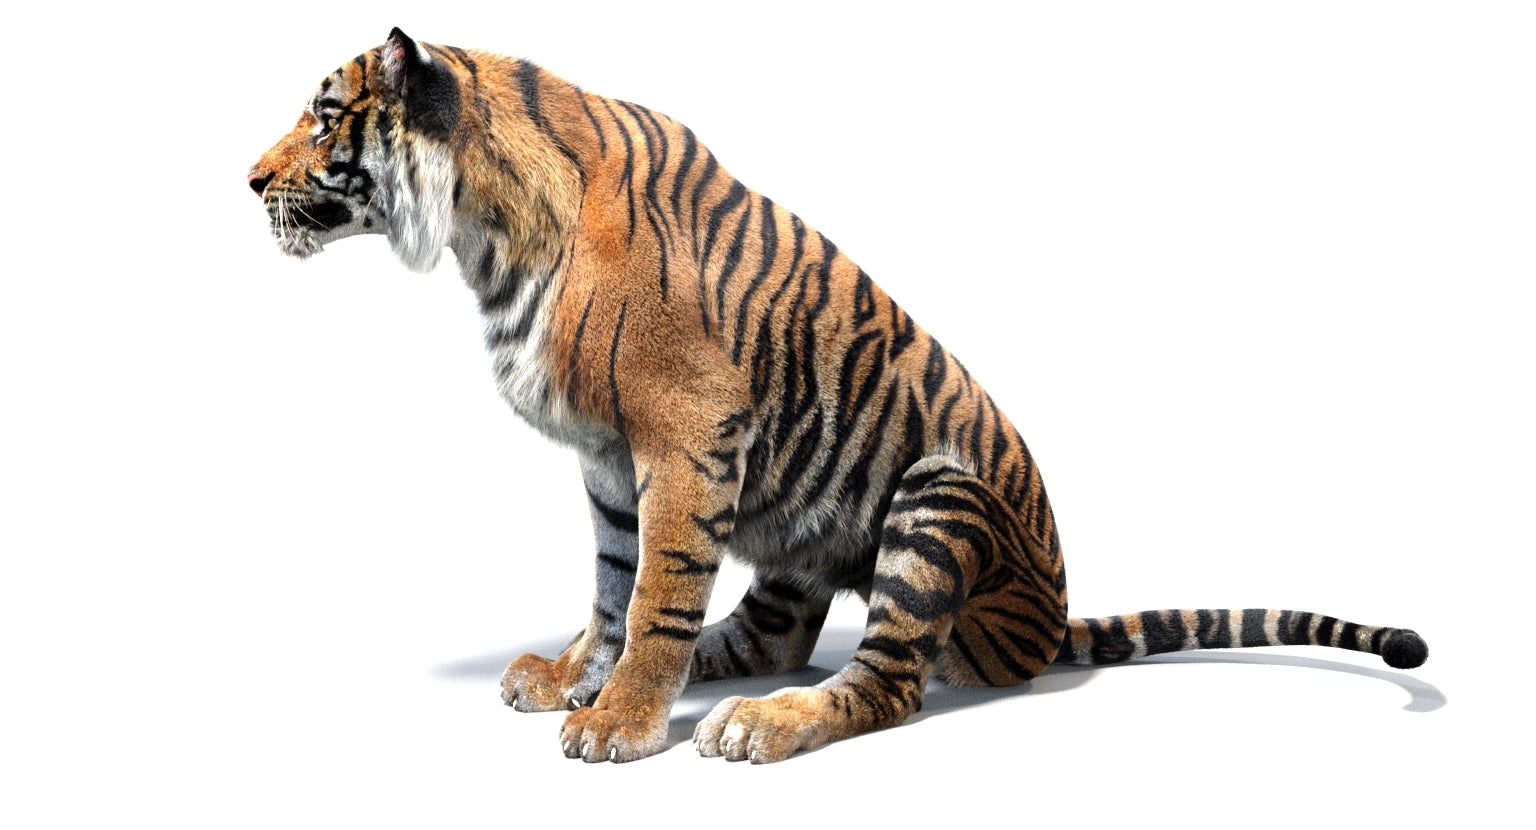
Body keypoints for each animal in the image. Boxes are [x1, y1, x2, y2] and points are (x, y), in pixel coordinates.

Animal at [249, 29, 1428, 764]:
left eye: (323, 118)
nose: (249, 180)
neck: (482, 232)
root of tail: (1053, 614)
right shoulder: (609, 458)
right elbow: (614, 584)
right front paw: (582, 675)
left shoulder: (686, 438)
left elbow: (658, 592)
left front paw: (620, 720)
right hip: (801, 525)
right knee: (774, 635)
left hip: (939, 490)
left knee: (887, 682)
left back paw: (754, 726)